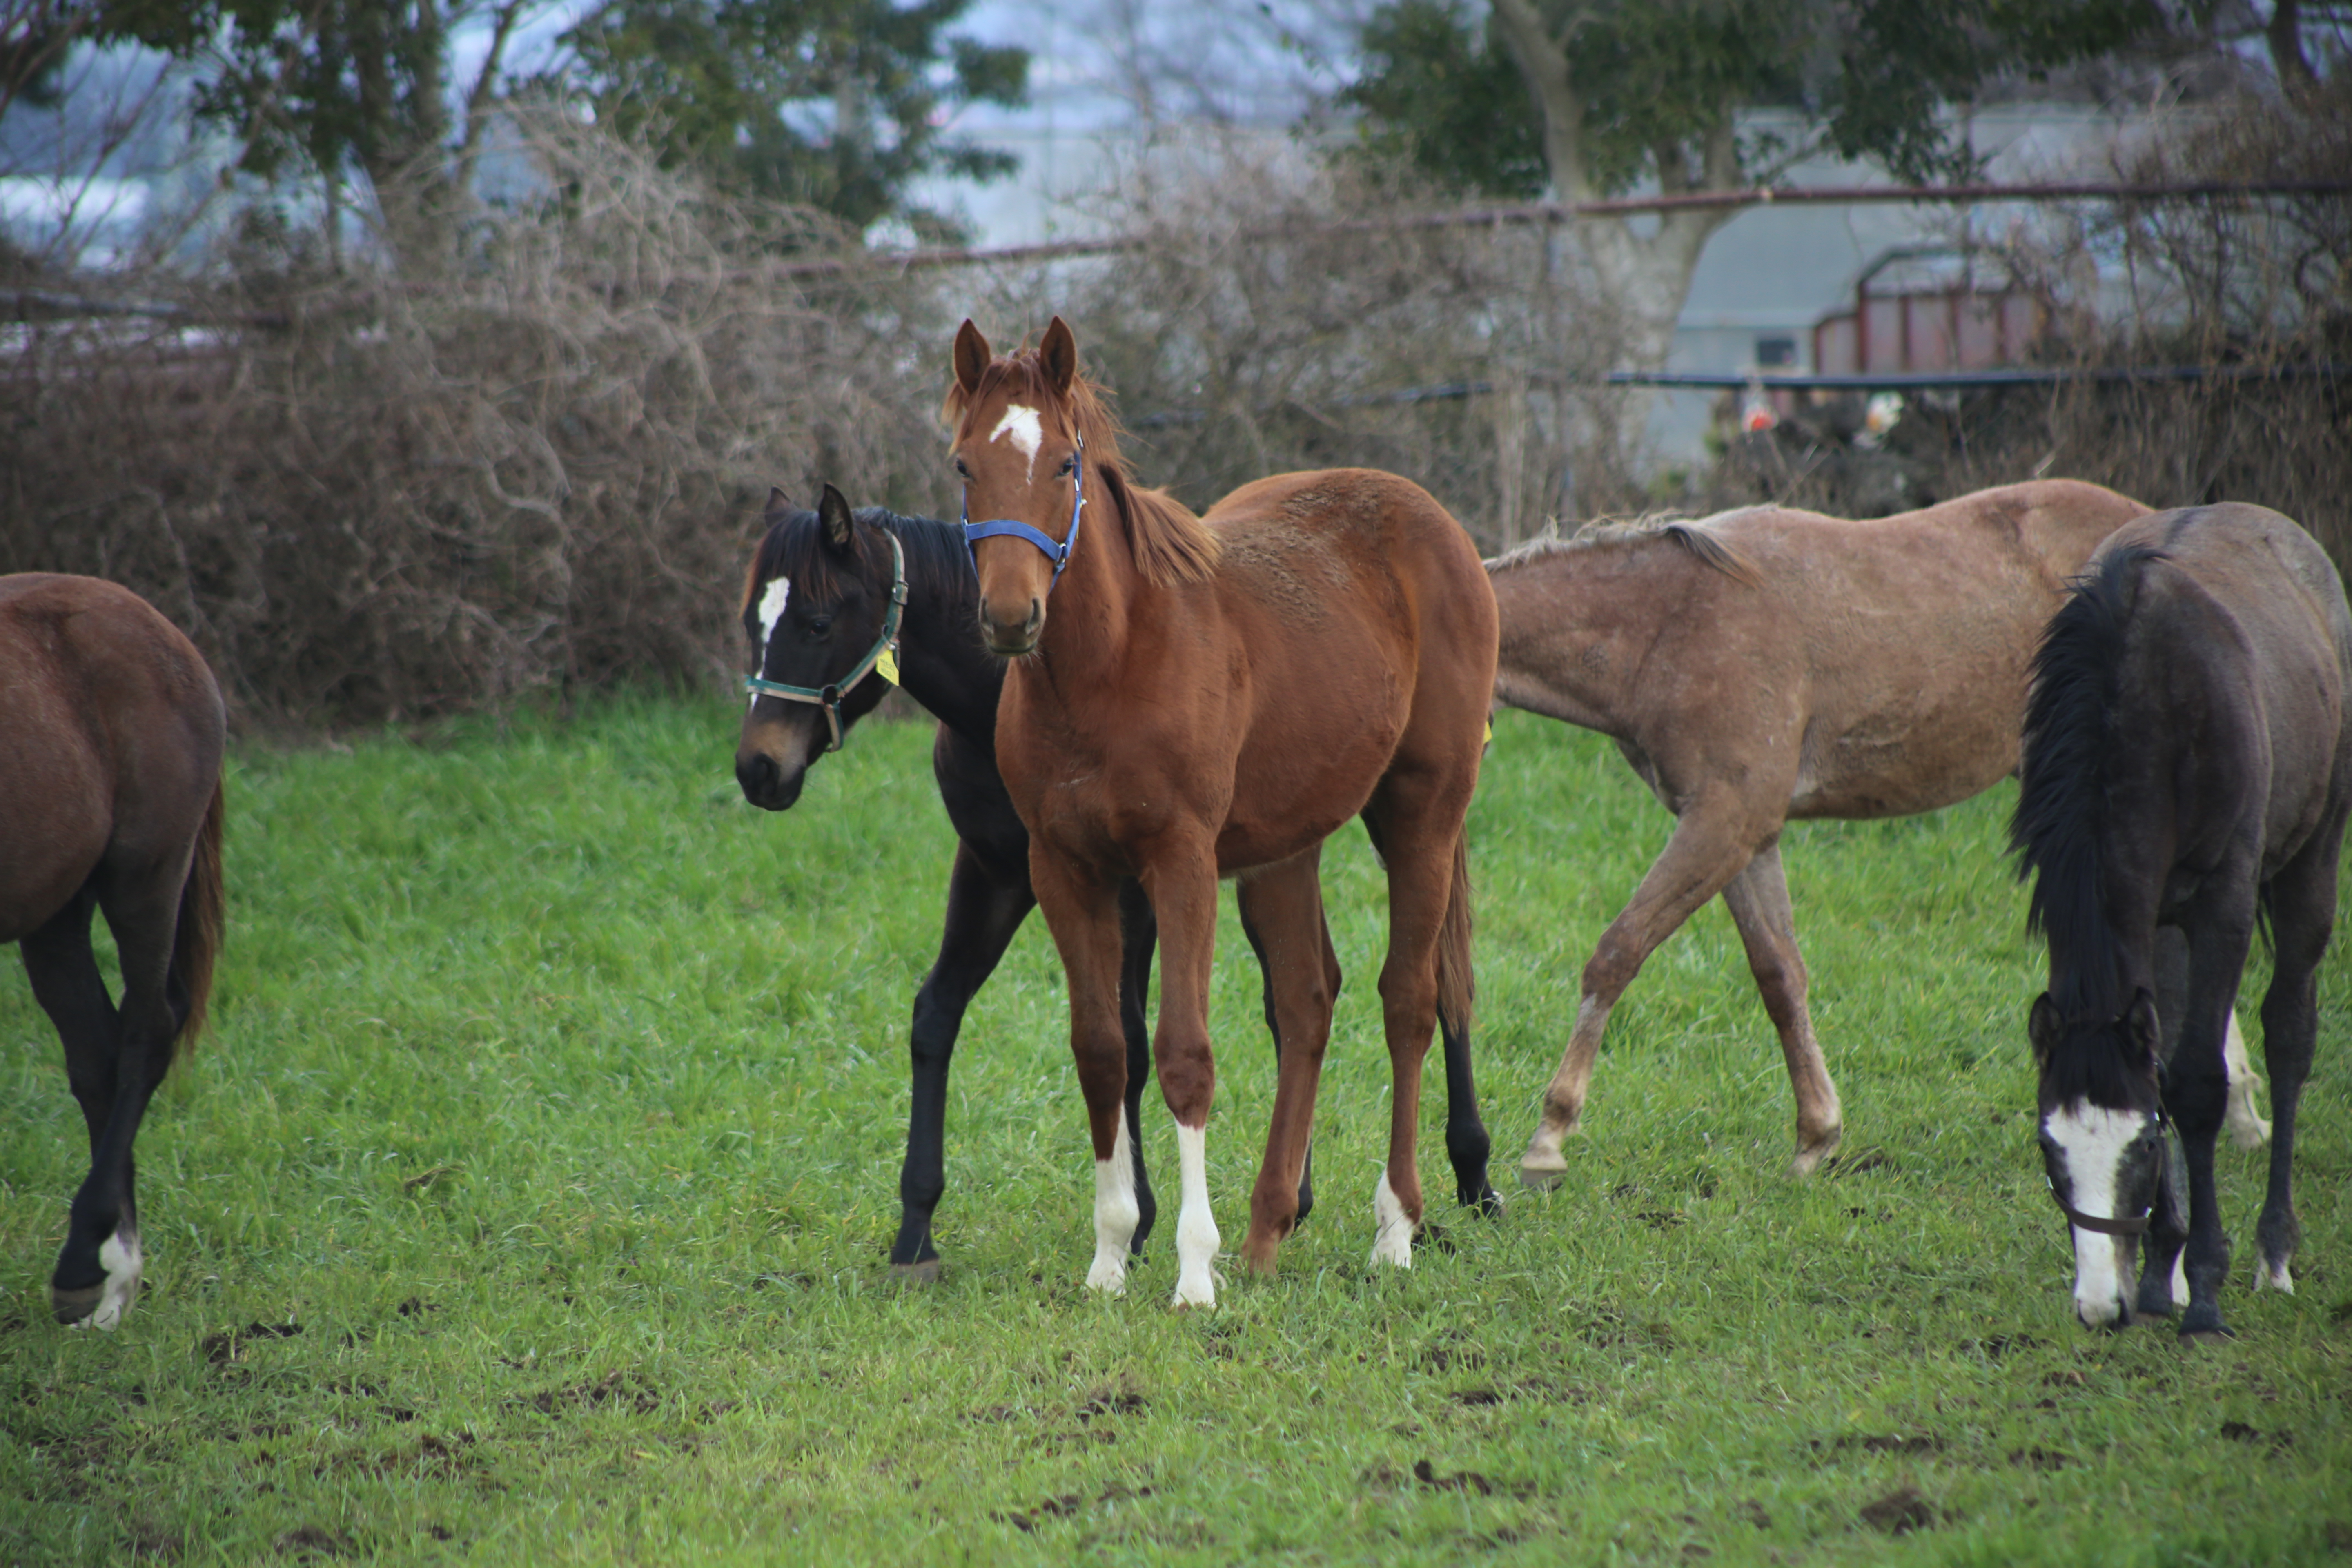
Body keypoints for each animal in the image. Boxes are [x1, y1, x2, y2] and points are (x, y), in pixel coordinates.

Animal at [1, 573, 225, 1326]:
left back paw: (89, 1265)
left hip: (144, 875)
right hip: (55, 903)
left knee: (146, 1031)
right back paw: (112, 1271)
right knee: (96, 1049)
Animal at [724, 484, 1496, 1278]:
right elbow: (937, 1015)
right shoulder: (997, 872)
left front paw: (1145, 1218)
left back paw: (1468, 1177)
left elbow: (1130, 1038)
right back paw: (1299, 1202)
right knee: (1311, 992)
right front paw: (916, 1230)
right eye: (753, 620)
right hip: (1287, 845)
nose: (759, 769)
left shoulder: (1134, 892)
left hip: (1410, 812)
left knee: (1433, 981)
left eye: (817, 622)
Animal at [1496, 484, 2154, 1185]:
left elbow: (1617, 953)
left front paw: (1549, 1137)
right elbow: (1779, 976)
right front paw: (1816, 1136)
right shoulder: (1742, 837)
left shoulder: (1723, 822)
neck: (1669, 624)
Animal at [2004, 505, 2352, 1335]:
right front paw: (2166, 1273)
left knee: (2290, 1033)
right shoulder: (2150, 911)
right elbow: (2159, 1068)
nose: (2100, 1307)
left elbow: (2195, 1083)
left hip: (2313, 860)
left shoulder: (2222, 902)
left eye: (2140, 1150)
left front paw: (2206, 1284)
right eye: (2049, 1151)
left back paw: (2274, 1254)